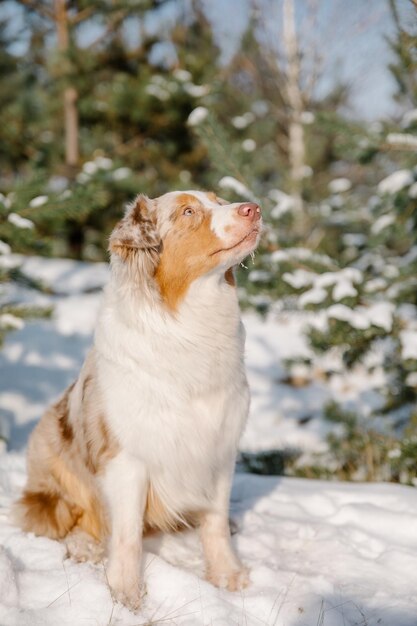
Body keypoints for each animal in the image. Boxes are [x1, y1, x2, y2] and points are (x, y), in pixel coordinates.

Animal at [14, 189, 262, 604]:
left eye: (218, 199)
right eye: (188, 211)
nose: (254, 208)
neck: (189, 326)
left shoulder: (218, 448)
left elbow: (214, 522)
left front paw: (228, 575)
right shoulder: (126, 458)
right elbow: (127, 535)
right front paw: (126, 594)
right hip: (48, 475)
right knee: (70, 521)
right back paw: (85, 547)